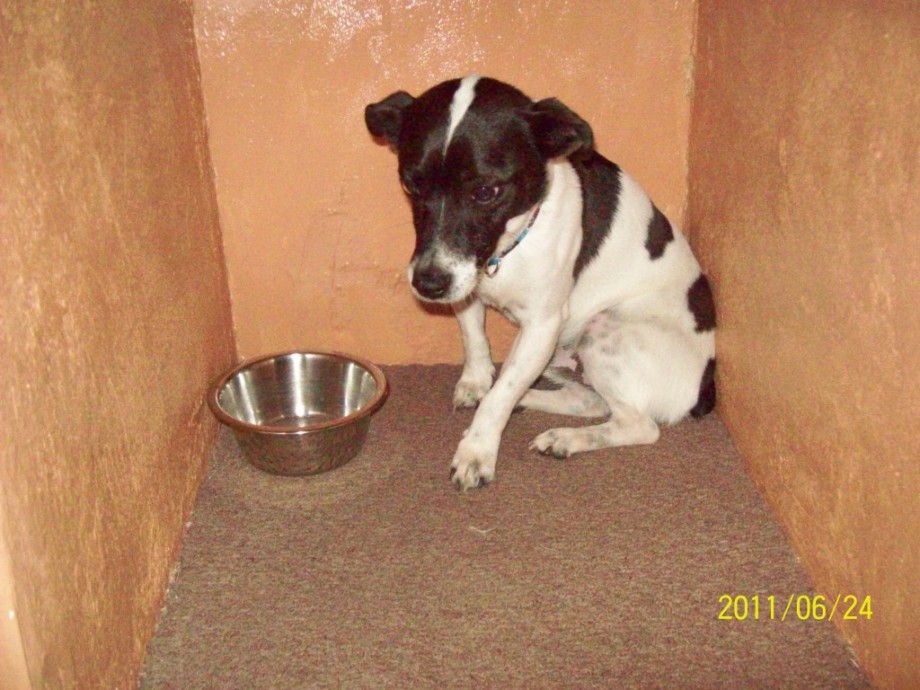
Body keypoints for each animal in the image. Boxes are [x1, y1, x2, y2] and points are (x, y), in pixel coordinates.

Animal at [365, 75, 716, 490]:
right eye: (411, 185)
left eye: (485, 191)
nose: (428, 285)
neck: (508, 248)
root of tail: (704, 385)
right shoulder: (468, 286)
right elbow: (474, 339)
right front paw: (477, 380)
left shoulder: (540, 325)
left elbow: (499, 396)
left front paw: (477, 450)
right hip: (566, 353)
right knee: (589, 400)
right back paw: (534, 405)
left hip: (600, 331)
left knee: (639, 425)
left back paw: (566, 437)